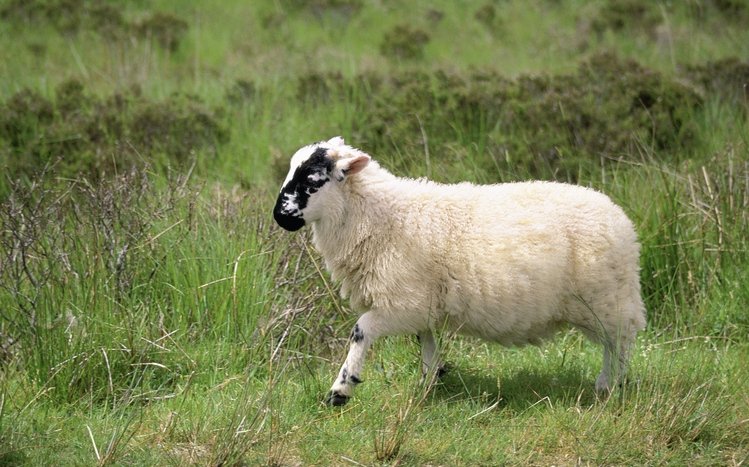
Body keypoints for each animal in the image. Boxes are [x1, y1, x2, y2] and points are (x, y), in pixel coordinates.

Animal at [273, 136, 647, 406]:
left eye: (312, 181)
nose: (279, 216)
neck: (380, 215)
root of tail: (621, 219)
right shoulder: (421, 306)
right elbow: (426, 344)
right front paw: (428, 384)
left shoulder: (402, 303)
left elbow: (360, 331)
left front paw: (340, 390)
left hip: (607, 299)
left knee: (620, 342)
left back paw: (610, 385)